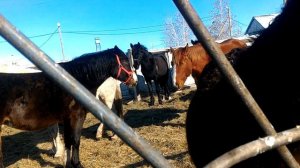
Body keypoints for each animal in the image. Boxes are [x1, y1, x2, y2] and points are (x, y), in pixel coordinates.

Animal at [0, 45, 137, 167]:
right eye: (125, 61)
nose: (134, 81)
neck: (74, 83)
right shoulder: (77, 116)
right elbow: (75, 140)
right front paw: (76, 164)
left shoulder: (67, 118)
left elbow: (68, 141)